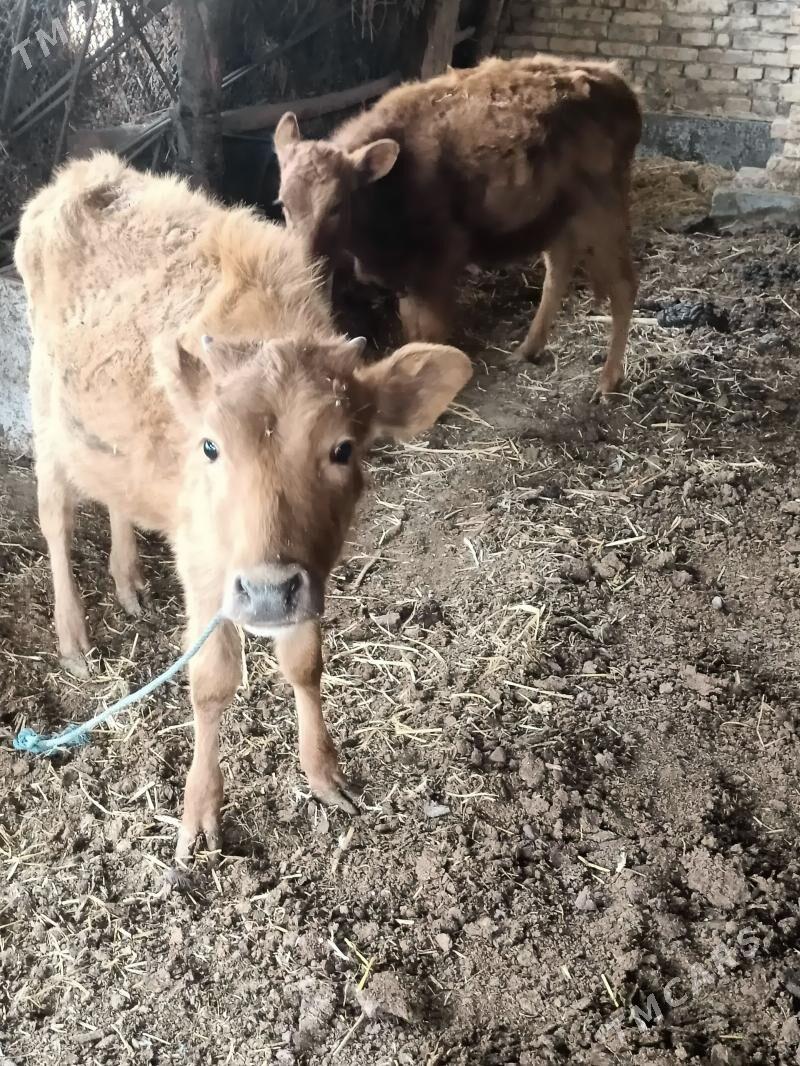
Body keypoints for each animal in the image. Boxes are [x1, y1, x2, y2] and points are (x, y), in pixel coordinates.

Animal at [15, 152, 472, 869]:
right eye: (210, 446)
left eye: (342, 448)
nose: (263, 593)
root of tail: (82, 173)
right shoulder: (204, 563)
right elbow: (211, 681)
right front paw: (200, 811)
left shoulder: (307, 572)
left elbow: (305, 662)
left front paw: (323, 772)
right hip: (47, 411)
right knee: (55, 516)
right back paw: (73, 636)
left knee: (116, 496)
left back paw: (127, 579)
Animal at [274, 55, 642, 399]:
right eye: (283, 204)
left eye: (336, 206)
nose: (305, 264)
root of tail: (611, 77)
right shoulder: (409, 278)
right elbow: (410, 328)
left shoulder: (437, 265)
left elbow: (429, 331)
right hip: (556, 216)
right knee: (558, 270)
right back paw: (528, 349)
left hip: (604, 208)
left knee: (623, 285)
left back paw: (607, 381)